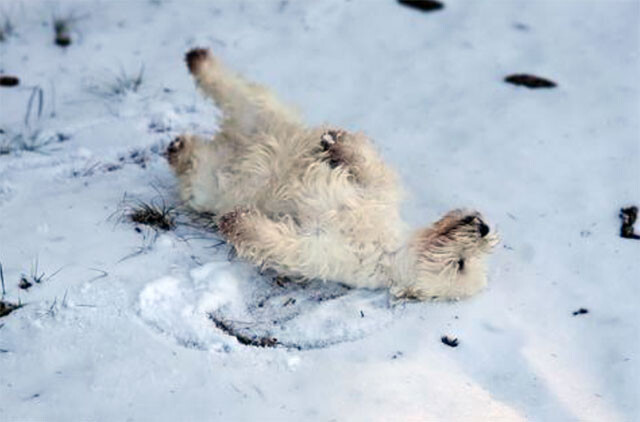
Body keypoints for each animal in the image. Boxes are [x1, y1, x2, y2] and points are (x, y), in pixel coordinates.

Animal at [168, 48, 498, 300]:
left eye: (460, 265)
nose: (483, 227)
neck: (390, 244)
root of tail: (230, 140)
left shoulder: (325, 249)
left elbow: (285, 245)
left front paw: (238, 221)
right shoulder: (379, 191)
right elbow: (370, 167)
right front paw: (336, 141)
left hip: (210, 184)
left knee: (199, 164)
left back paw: (180, 147)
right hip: (263, 115)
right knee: (237, 90)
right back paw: (198, 60)